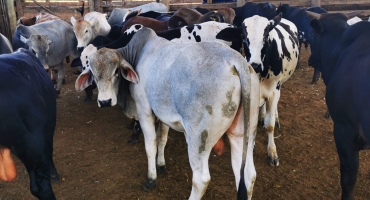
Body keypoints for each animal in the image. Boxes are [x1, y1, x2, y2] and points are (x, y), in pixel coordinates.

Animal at [75, 27, 260, 200]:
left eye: (115, 72)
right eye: (93, 73)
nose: (104, 101)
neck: (138, 53)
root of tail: (235, 59)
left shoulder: (144, 110)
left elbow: (150, 145)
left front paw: (151, 178)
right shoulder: (163, 116)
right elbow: (162, 140)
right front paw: (161, 165)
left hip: (199, 139)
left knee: (201, 179)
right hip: (243, 134)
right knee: (247, 174)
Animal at [243, 14, 300, 166]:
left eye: (266, 36)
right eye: (244, 36)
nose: (255, 65)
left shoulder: (274, 91)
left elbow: (270, 125)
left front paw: (272, 152)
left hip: (280, 85)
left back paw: (275, 117)